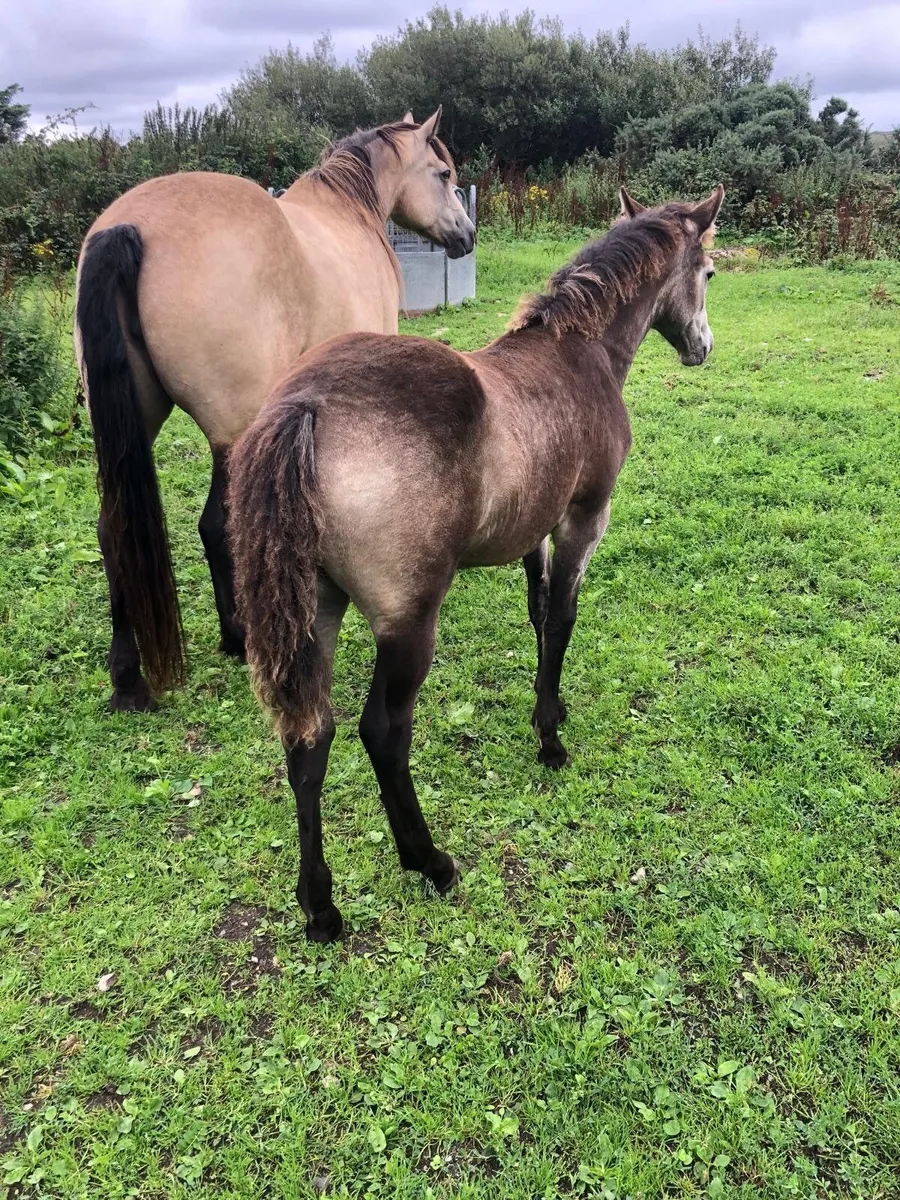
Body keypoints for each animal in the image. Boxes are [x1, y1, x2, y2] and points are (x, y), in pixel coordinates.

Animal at [74, 109, 474, 714]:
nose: (466, 235)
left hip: (135, 425)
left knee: (112, 529)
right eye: (443, 172)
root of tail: (130, 227)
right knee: (216, 526)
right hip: (230, 429)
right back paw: (237, 638)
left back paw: (128, 680)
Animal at [227, 185, 724, 942]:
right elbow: (564, 616)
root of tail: (303, 405)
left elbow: (539, 614)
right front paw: (550, 740)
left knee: (310, 737)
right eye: (710, 272)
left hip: (315, 609)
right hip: (409, 620)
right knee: (381, 731)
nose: (702, 346)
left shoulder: (534, 529)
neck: (579, 352)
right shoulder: (583, 519)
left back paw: (321, 906)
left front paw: (552, 707)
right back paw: (429, 861)